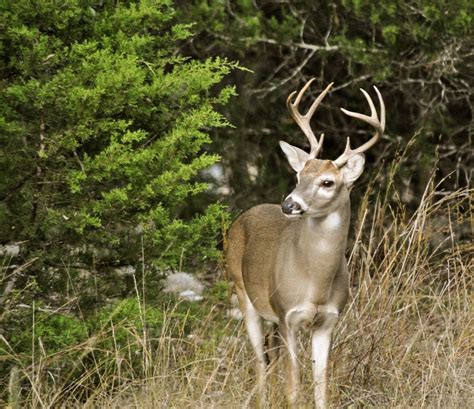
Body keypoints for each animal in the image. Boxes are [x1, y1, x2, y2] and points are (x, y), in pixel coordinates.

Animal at [226, 78, 386, 406]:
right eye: (298, 175)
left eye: (328, 182)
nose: (289, 204)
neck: (315, 283)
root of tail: (241, 218)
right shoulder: (287, 315)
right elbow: (293, 387)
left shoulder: (327, 321)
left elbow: (320, 386)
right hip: (242, 291)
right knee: (259, 360)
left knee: (268, 355)